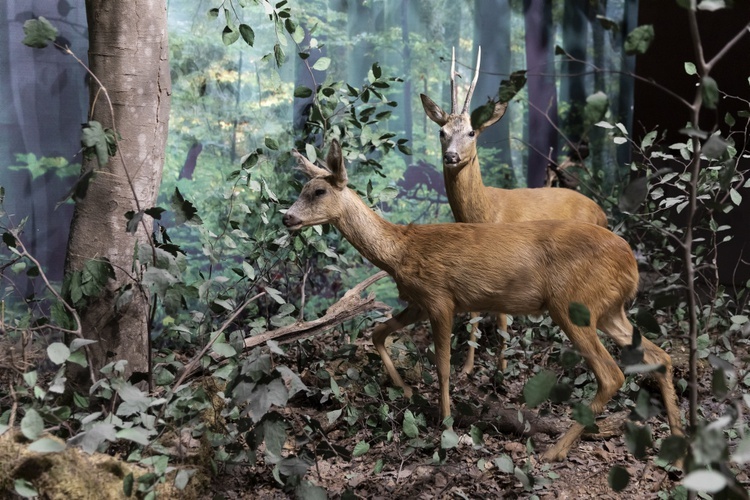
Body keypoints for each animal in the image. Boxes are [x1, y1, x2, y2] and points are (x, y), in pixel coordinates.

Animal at [284, 141, 688, 460]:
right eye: (303, 187)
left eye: (318, 191)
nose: (287, 217)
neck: (399, 251)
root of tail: (631, 262)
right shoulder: (417, 301)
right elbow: (378, 333)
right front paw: (407, 390)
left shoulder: (440, 299)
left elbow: (443, 366)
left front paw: (446, 424)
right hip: (609, 310)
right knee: (661, 356)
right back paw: (678, 443)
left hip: (573, 305)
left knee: (612, 374)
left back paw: (554, 451)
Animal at [424, 47, 612, 376]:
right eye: (441, 131)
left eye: (472, 132)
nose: (451, 156)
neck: (486, 213)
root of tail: (600, 211)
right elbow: (474, 315)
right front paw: (467, 368)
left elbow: (500, 318)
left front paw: (501, 368)